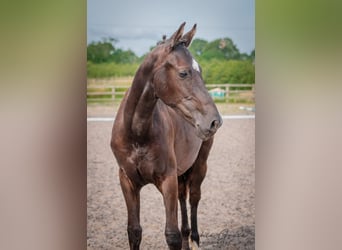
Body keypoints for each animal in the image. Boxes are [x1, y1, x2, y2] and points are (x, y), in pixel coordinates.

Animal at [109, 22, 222, 249]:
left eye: (201, 70)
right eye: (183, 73)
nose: (214, 121)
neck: (137, 133)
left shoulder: (167, 180)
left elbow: (172, 234)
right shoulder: (127, 181)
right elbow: (134, 231)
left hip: (200, 165)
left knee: (193, 198)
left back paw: (194, 239)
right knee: (183, 198)